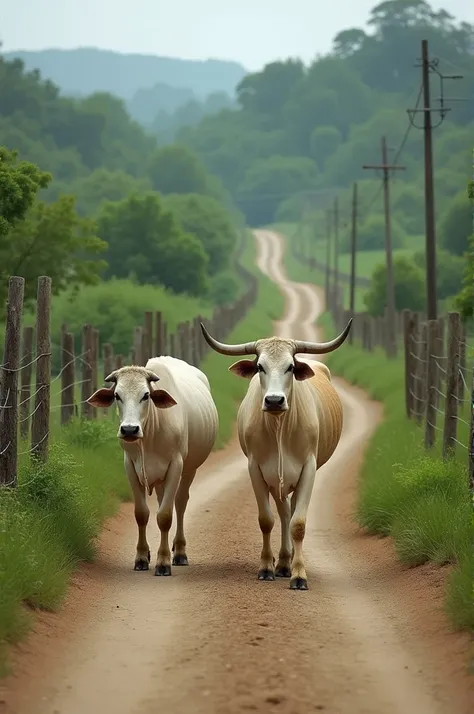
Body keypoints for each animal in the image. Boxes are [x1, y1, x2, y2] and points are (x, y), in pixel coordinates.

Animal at [86, 356, 218, 572]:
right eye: (117, 395)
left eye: (146, 395)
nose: (129, 430)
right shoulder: (130, 466)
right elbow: (142, 514)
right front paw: (141, 557)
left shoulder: (176, 465)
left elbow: (165, 516)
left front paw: (163, 562)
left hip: (190, 469)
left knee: (180, 503)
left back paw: (179, 552)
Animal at [200, 320, 352, 588]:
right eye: (260, 366)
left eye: (290, 367)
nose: (273, 401)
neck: (279, 426)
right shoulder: (257, 470)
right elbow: (267, 520)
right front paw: (266, 567)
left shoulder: (308, 469)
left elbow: (298, 524)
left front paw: (299, 574)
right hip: (275, 479)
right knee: (283, 512)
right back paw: (282, 562)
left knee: (290, 513)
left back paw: (288, 562)